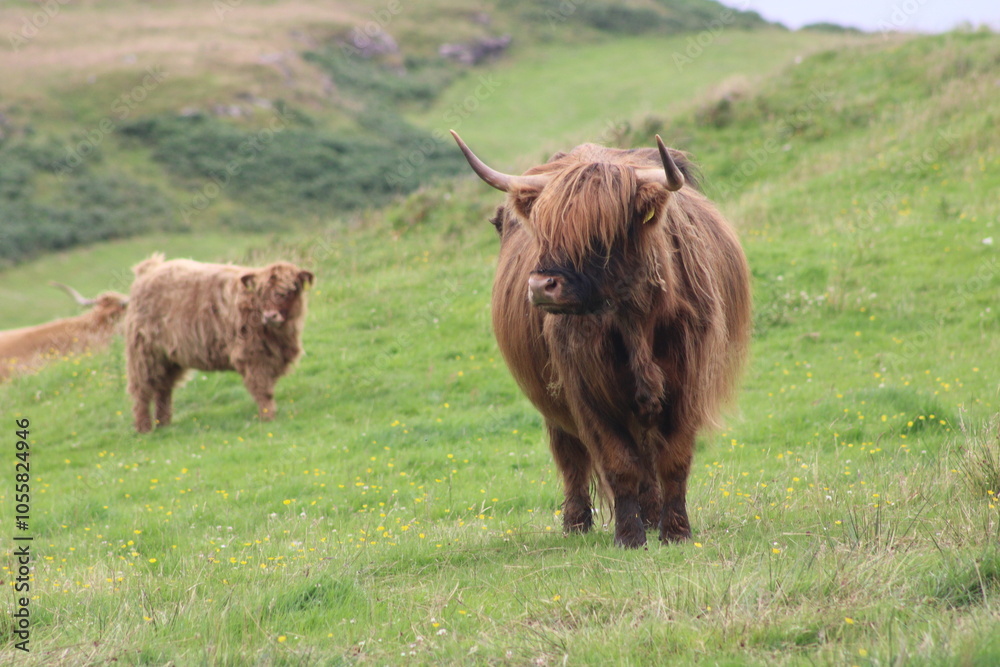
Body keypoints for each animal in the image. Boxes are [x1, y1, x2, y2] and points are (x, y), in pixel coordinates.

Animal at [125, 253, 314, 433]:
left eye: (289, 290)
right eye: (260, 293)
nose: (270, 316)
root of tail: (149, 269)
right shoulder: (252, 355)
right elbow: (263, 389)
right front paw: (268, 418)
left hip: (169, 358)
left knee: (163, 388)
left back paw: (164, 424)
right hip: (144, 354)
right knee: (142, 390)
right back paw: (144, 428)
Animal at [451, 130, 751, 548]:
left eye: (600, 233)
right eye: (542, 229)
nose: (541, 286)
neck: (635, 319)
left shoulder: (688, 381)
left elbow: (674, 459)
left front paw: (675, 532)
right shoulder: (588, 390)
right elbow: (619, 463)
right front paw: (629, 537)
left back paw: (653, 516)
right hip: (553, 397)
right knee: (571, 457)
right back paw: (577, 523)